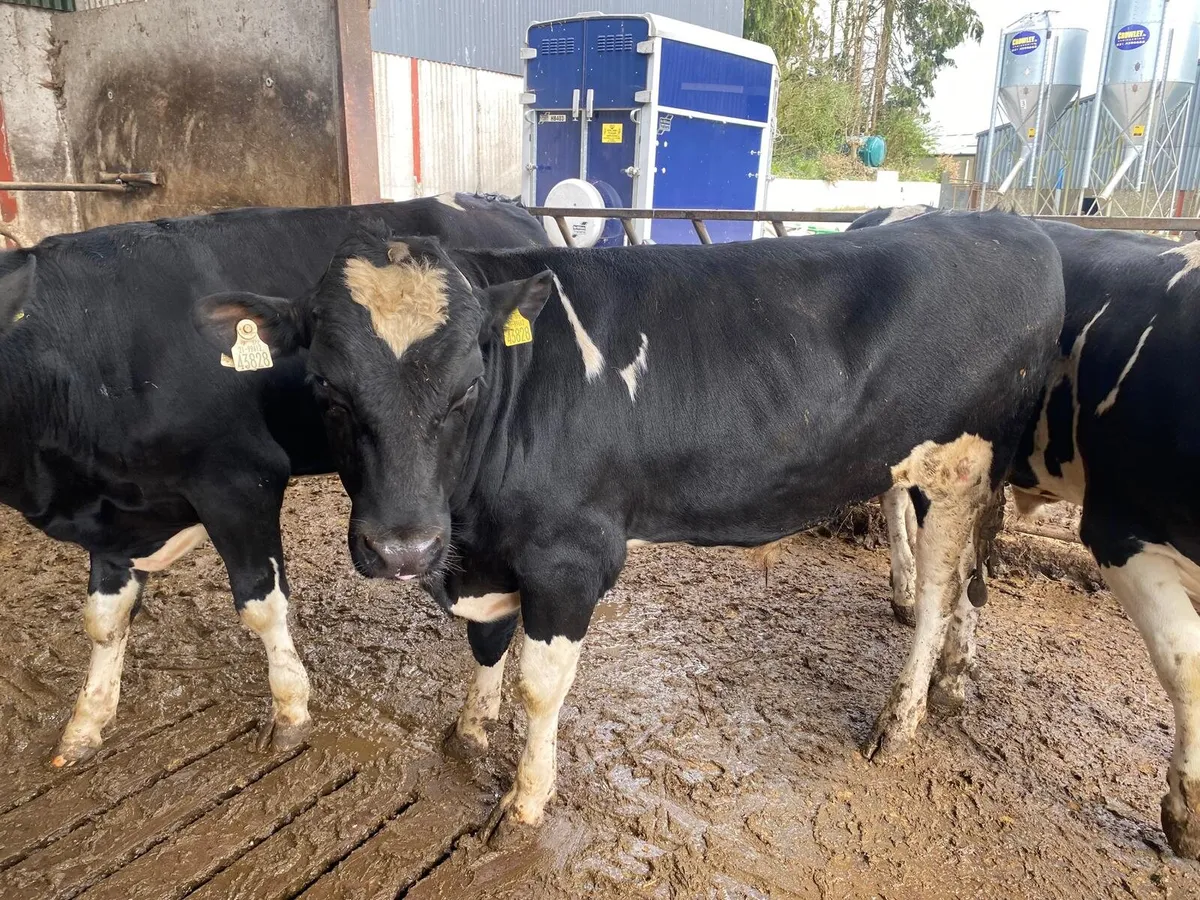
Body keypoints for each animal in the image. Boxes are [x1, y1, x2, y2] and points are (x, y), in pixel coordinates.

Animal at [0, 194, 547, 768]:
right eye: (324, 383)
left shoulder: (240, 480)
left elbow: (260, 606)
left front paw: (290, 711)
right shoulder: (113, 511)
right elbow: (105, 618)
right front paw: (86, 722)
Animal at [194, 210, 1064, 831]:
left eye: (469, 387)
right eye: (326, 389)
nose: (404, 545)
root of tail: (1011, 224)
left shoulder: (569, 556)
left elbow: (540, 686)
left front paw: (523, 802)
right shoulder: (486, 554)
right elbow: (484, 644)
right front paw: (468, 731)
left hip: (960, 466)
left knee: (941, 588)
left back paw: (901, 718)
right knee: (974, 576)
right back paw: (954, 682)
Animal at [853, 205, 1200, 860]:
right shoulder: (1118, 531)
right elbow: (1185, 663)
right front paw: (1186, 812)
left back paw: (951, 665)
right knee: (904, 510)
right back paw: (907, 596)